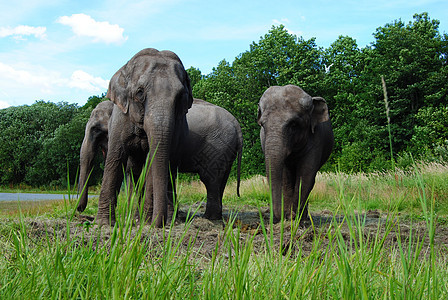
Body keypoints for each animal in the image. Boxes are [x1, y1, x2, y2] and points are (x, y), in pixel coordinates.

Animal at [78, 98, 243, 220]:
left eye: (95, 129)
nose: (80, 210)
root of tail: (237, 124)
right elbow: (135, 173)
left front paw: (138, 217)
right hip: (226, 150)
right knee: (221, 180)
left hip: (217, 147)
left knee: (210, 180)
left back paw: (208, 218)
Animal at [99, 48, 193, 227]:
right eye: (140, 92)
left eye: (180, 97)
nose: (158, 223)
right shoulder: (120, 117)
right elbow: (115, 159)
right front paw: (104, 224)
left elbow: (152, 162)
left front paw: (148, 223)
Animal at [258, 84, 334, 223]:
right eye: (262, 125)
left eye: (293, 124)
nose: (284, 215)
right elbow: (285, 177)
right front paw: (288, 218)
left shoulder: (316, 140)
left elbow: (306, 174)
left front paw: (295, 218)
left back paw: (304, 218)